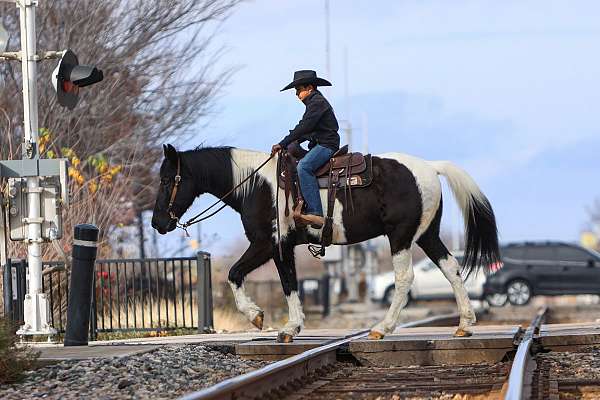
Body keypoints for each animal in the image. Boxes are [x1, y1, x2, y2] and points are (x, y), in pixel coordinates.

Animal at [151, 145, 502, 342]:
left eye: (168, 179)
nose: (157, 223)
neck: (256, 185)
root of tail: (430, 167)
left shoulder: (268, 244)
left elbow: (244, 275)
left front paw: (265, 320)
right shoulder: (282, 247)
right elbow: (288, 282)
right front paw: (288, 326)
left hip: (400, 236)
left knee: (405, 278)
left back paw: (382, 327)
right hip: (426, 234)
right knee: (452, 268)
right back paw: (465, 324)